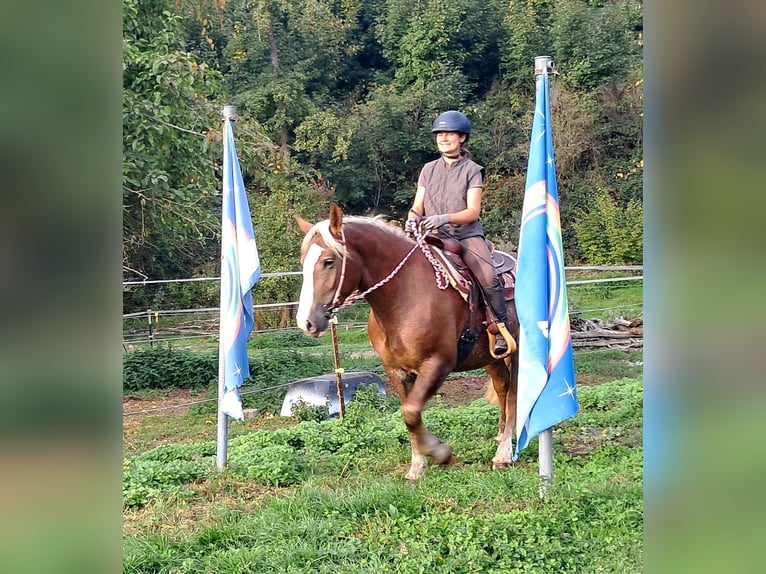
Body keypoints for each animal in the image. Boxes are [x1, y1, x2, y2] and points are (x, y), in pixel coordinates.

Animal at [295, 204, 519, 481]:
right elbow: (410, 414)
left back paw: (504, 454)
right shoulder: (396, 370)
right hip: (491, 358)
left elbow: (411, 412)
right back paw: (500, 439)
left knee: (514, 395)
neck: (405, 296)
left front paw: (439, 453)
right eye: (303, 262)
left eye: (328, 261)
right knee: (502, 387)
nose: (306, 322)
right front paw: (418, 464)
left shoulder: (438, 363)